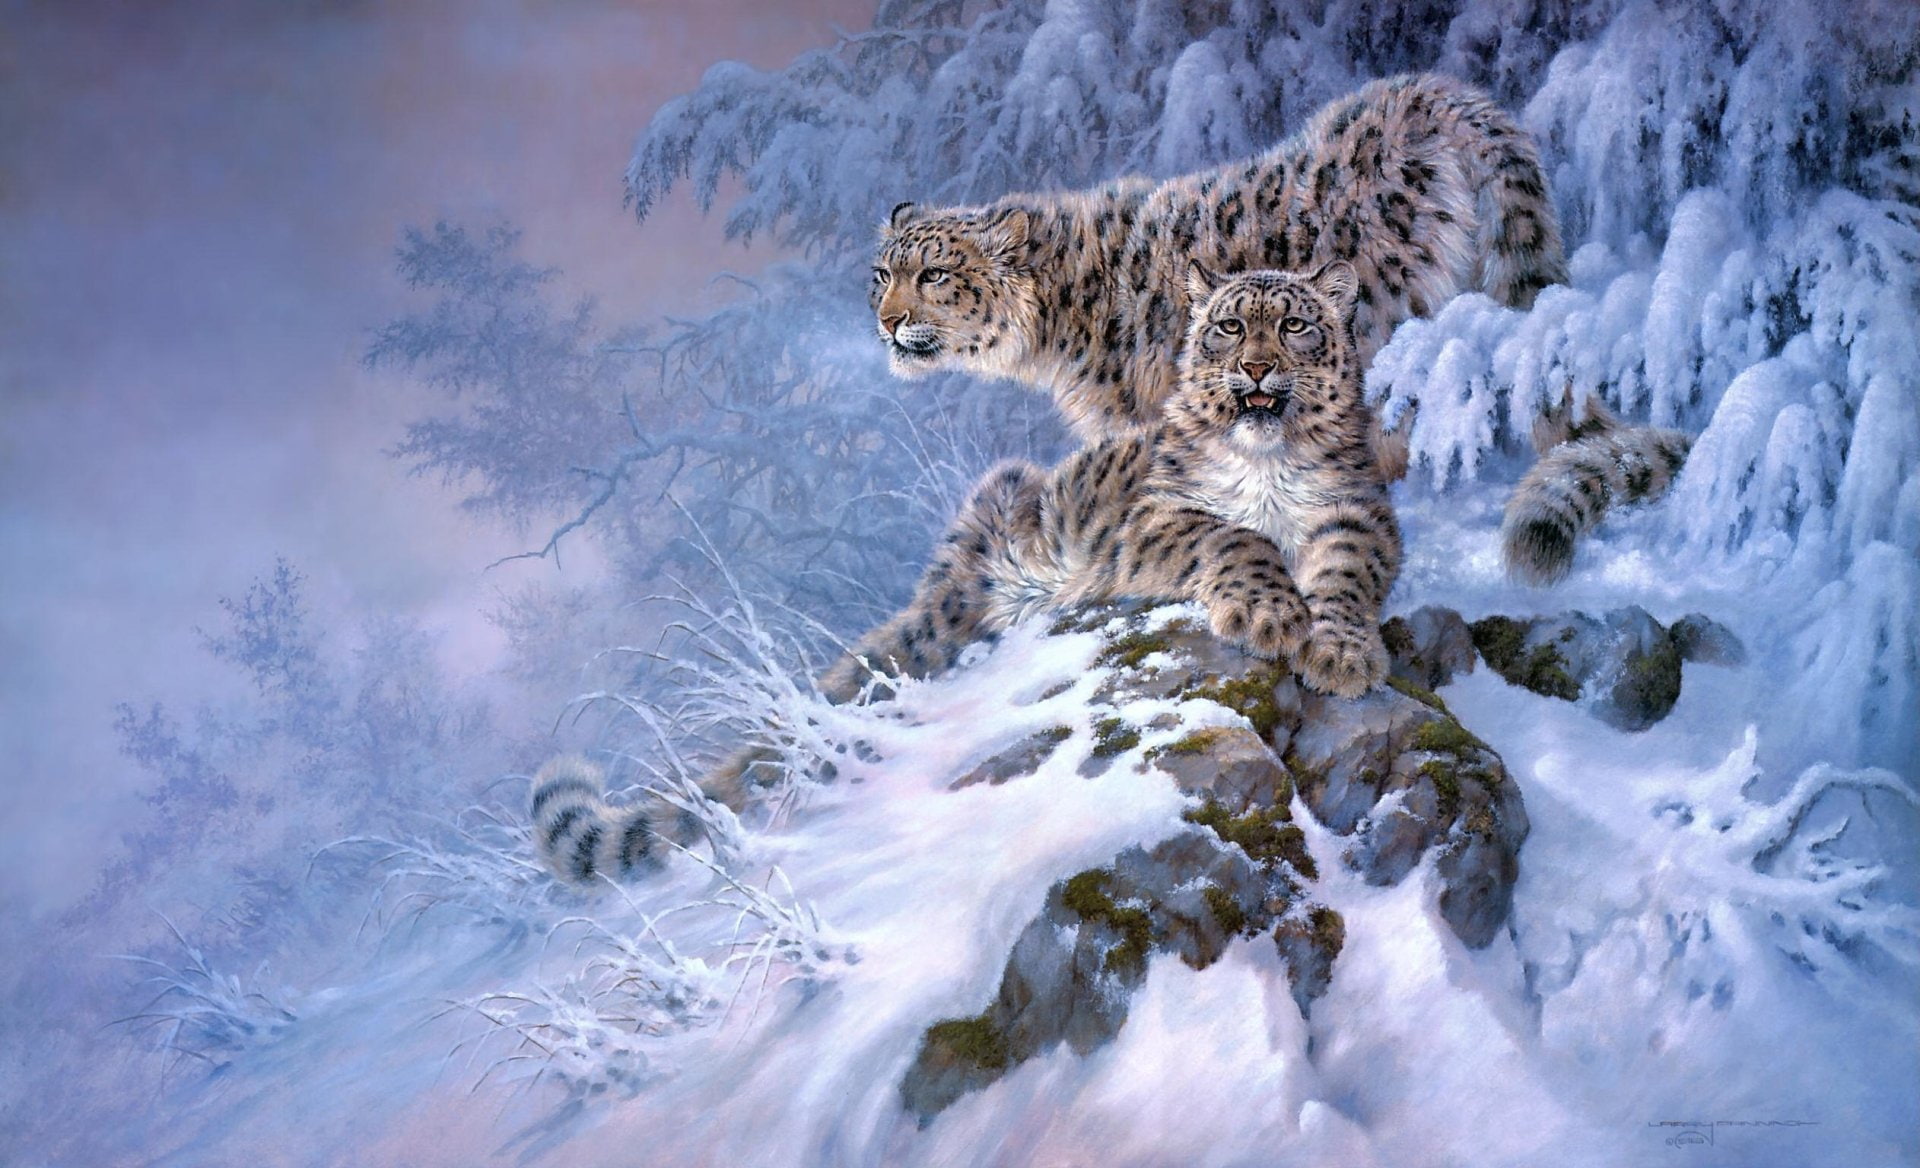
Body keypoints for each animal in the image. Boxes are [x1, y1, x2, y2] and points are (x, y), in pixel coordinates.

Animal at [533, 265, 1400, 884]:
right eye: (1228, 326)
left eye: (1293, 324)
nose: (1254, 368)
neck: (1269, 465)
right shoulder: (1157, 515)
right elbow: (1234, 537)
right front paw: (1272, 614)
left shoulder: (1356, 512)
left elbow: (1345, 578)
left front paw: (1341, 652)